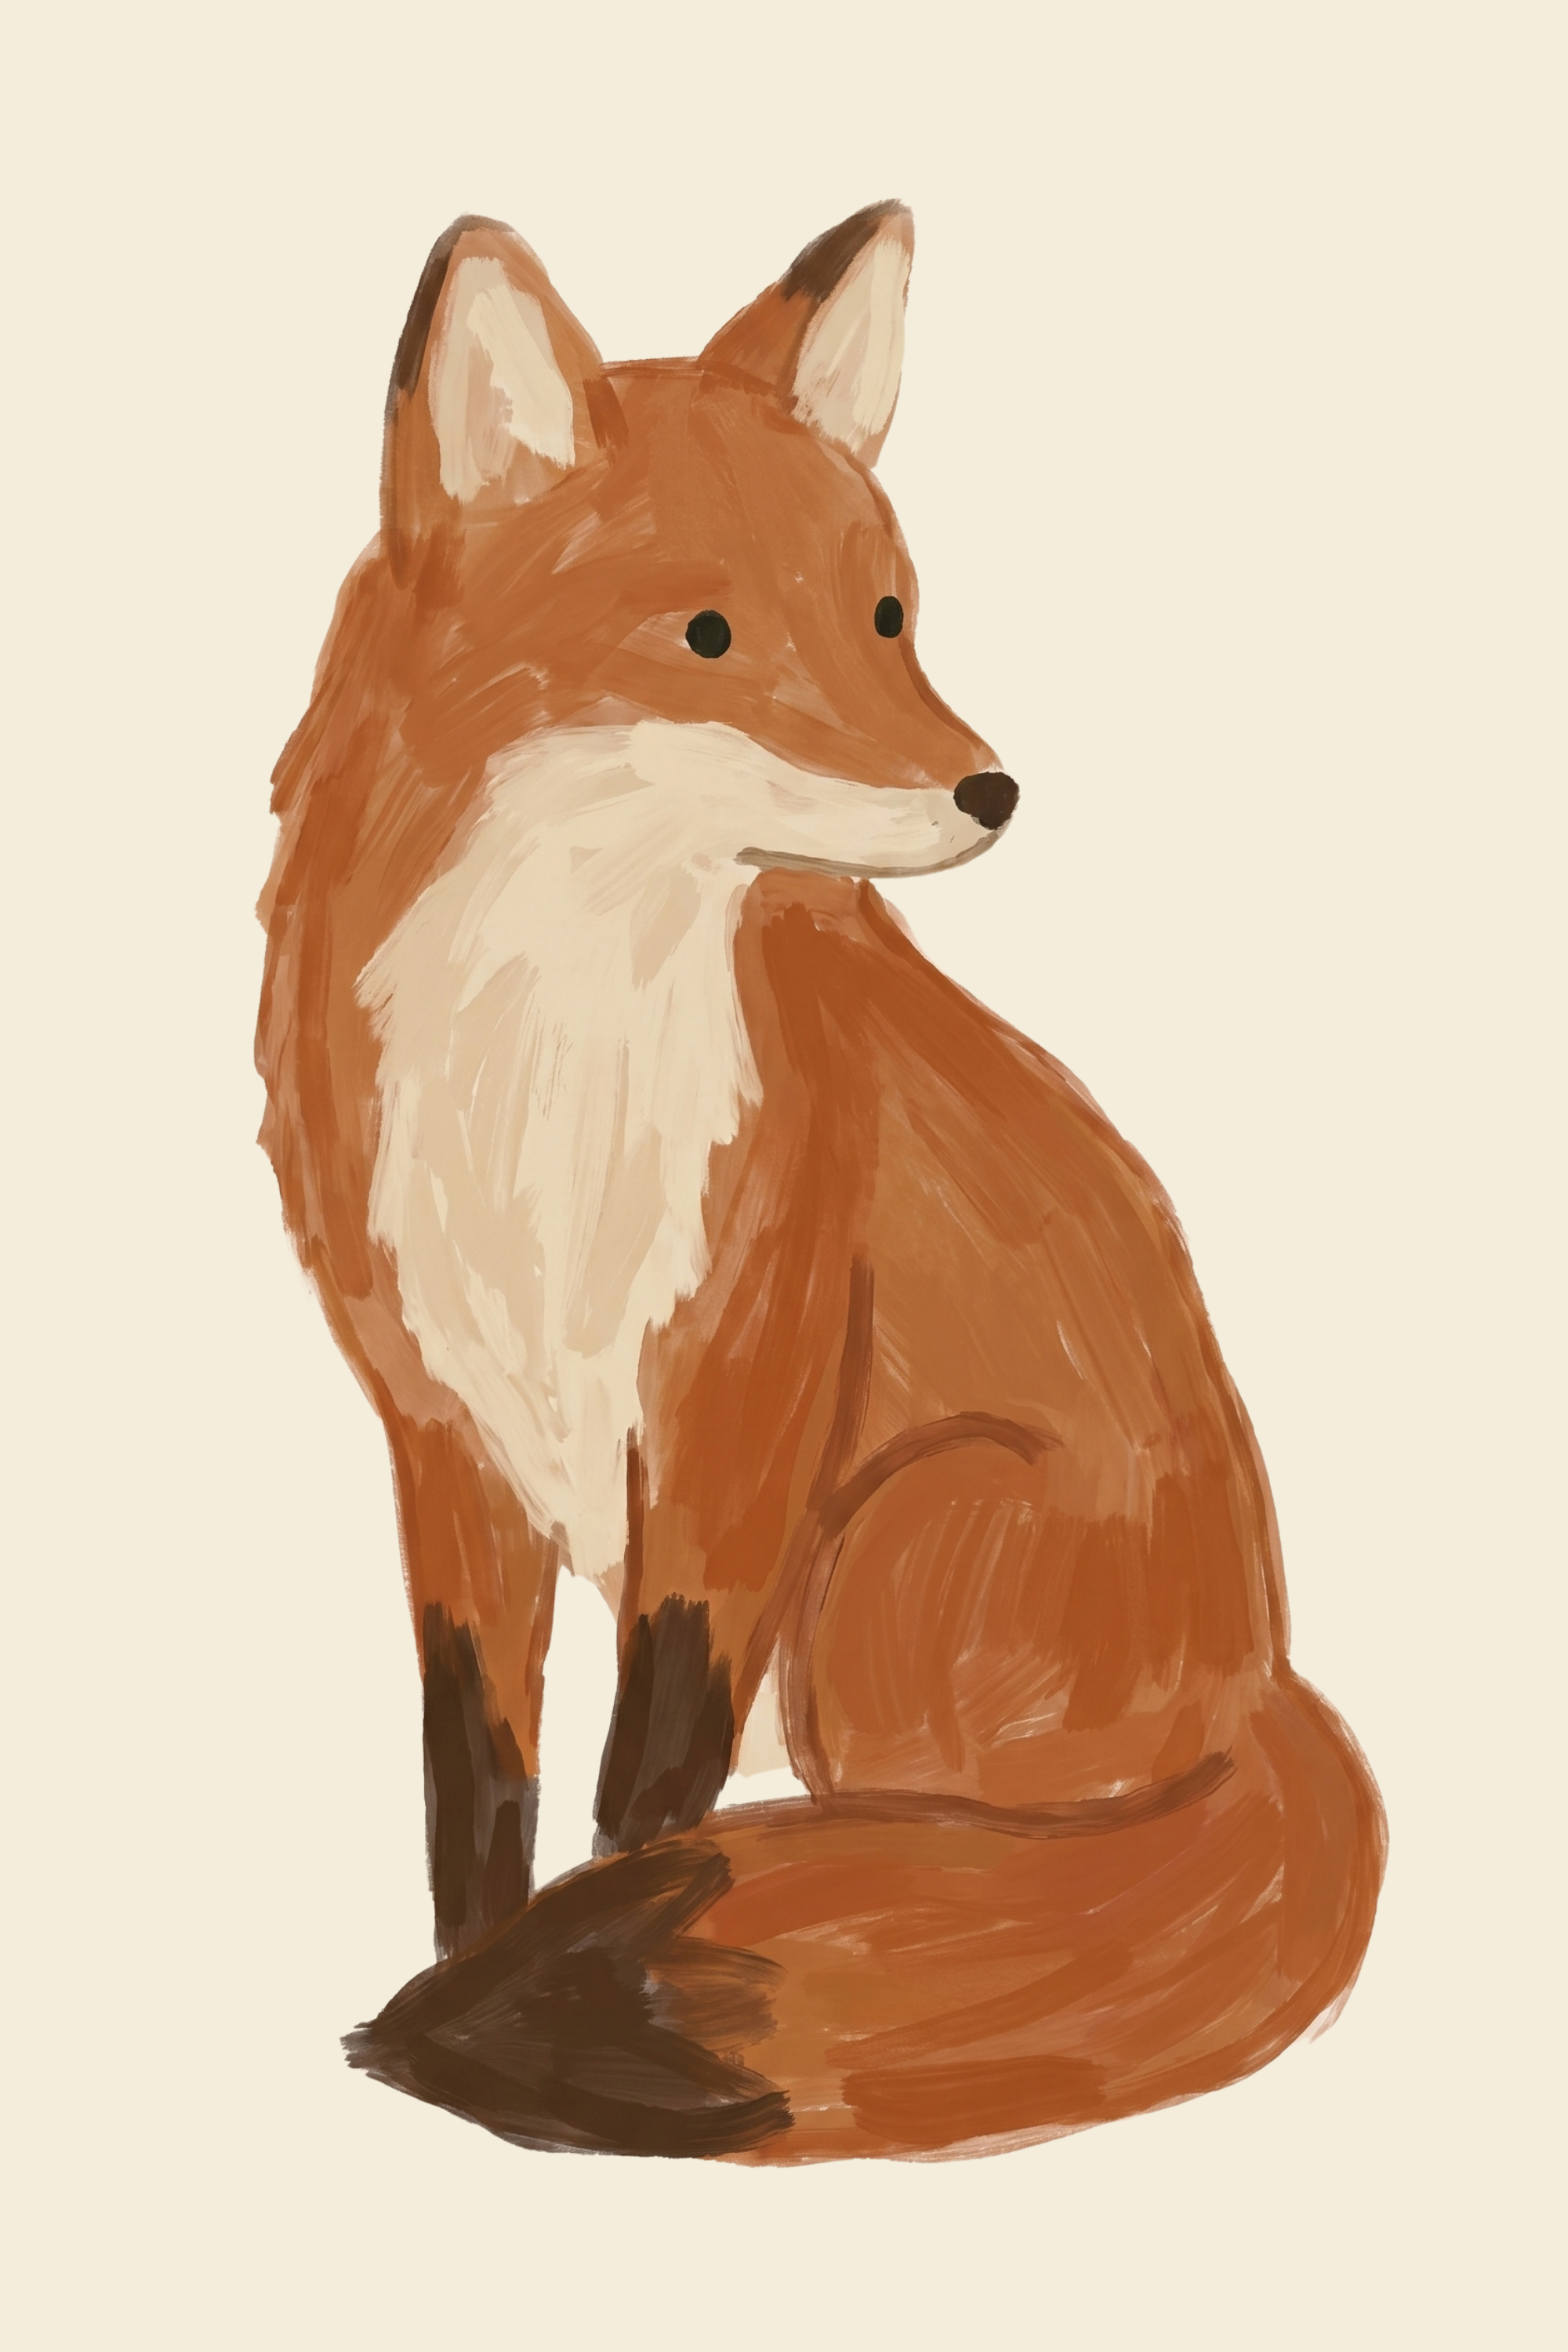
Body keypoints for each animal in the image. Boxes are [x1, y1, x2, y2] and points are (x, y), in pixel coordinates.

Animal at [256, 201, 1385, 2162]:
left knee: (960, 1847)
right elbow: (478, 1774)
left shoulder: (742, 1396)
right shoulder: (440, 1430)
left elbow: (648, 1774)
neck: (550, 1075)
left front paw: (576, 1947)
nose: (992, 790)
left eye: (887, 614)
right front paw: (479, 1957)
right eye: (706, 631)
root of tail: (1267, 1684)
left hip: (889, 1555)